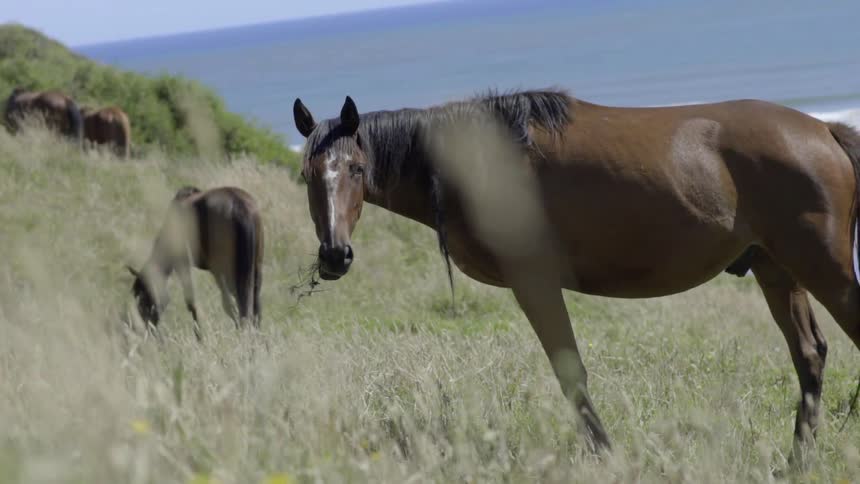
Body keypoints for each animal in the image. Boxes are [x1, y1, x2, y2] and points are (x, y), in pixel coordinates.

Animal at [128, 186, 264, 340]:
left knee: (233, 304)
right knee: (254, 305)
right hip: (254, 267)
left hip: (223, 271)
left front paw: (200, 338)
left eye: (143, 299)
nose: (144, 330)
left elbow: (191, 302)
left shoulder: (182, 263)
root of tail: (239, 206)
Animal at [293, 90, 860, 459]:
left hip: (822, 268)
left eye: (356, 169)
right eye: (306, 174)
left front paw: (604, 453)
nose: (335, 255)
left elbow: (571, 372)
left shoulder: (535, 282)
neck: (480, 163)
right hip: (777, 268)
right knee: (809, 354)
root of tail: (822, 130)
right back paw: (798, 459)